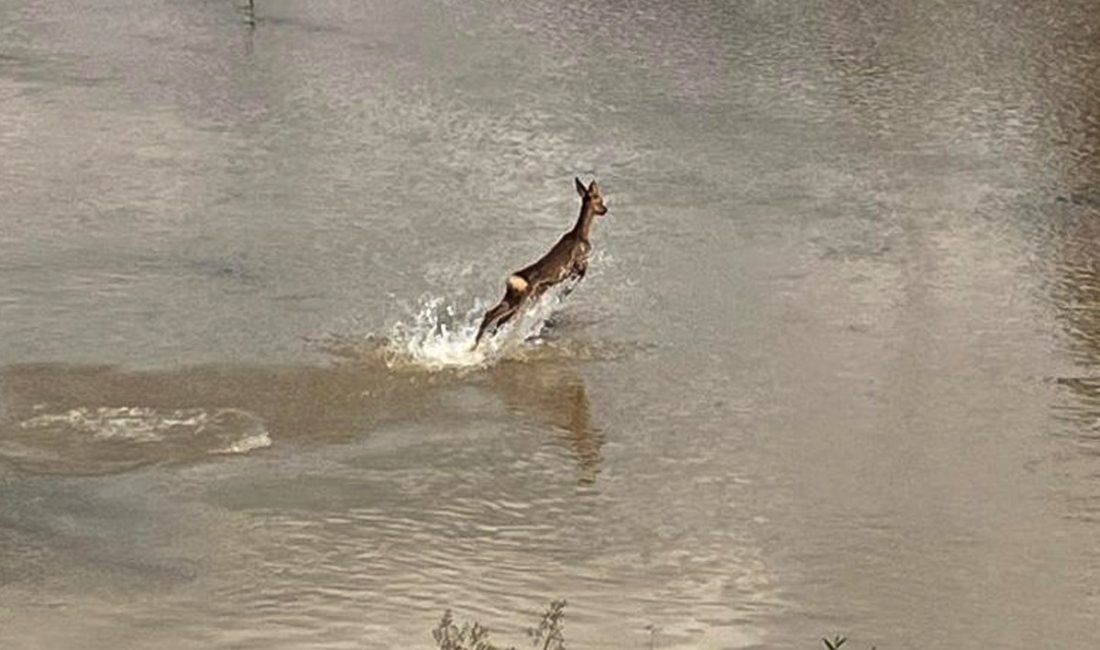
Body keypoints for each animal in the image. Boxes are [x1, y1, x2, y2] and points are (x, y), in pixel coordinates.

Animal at [473, 177, 611, 351]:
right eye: (598, 198)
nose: (605, 209)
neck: (582, 235)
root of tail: (512, 279)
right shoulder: (577, 262)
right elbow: (578, 277)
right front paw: (564, 293)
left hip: (512, 298)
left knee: (492, 315)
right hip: (521, 299)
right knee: (497, 317)